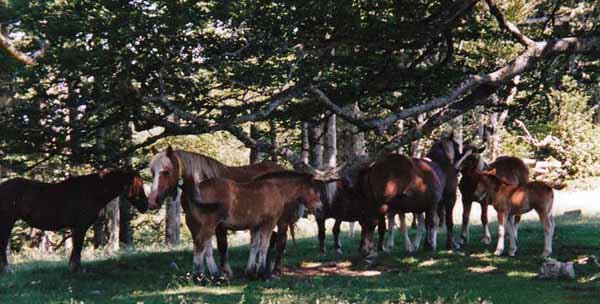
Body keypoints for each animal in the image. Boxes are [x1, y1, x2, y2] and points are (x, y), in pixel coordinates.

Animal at [0, 169, 148, 274]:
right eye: (138, 186)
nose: (145, 205)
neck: (92, 192)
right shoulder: (81, 226)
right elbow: (78, 248)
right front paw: (77, 269)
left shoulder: (76, 228)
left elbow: (76, 248)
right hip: (7, 222)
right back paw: (7, 270)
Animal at [146, 146, 284, 280]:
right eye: (152, 172)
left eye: (166, 171)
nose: (152, 201)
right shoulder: (193, 222)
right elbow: (206, 247)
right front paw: (213, 273)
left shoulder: (217, 225)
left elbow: (221, 246)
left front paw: (223, 272)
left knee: (280, 240)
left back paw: (275, 270)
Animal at [190, 170, 326, 282]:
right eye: (314, 190)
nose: (320, 208)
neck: (277, 190)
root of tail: (199, 188)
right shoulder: (269, 223)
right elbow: (263, 246)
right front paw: (263, 274)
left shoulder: (255, 226)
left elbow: (254, 246)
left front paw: (251, 273)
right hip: (210, 224)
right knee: (200, 244)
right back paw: (199, 278)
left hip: (204, 226)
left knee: (205, 248)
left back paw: (215, 276)